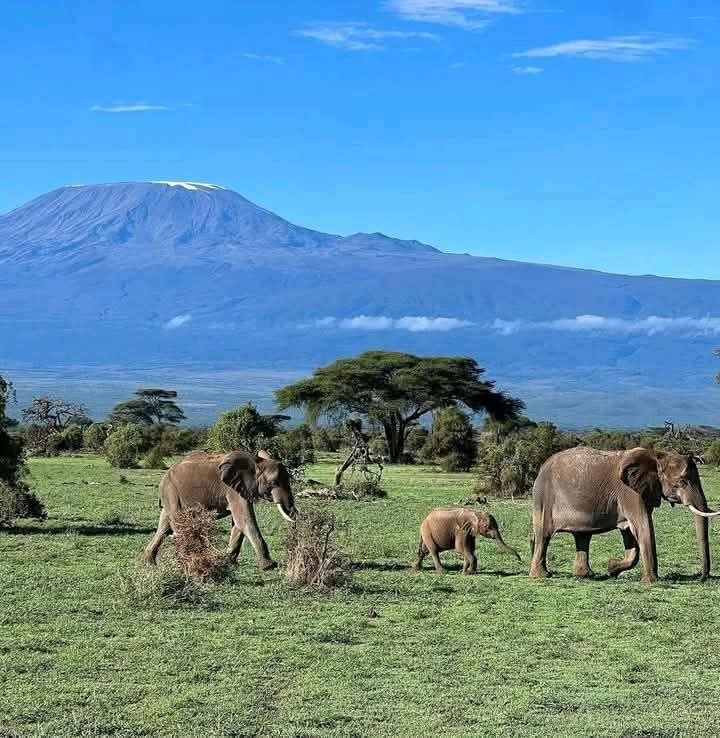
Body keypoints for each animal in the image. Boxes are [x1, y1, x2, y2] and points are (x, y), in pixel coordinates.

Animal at [143, 449, 298, 570]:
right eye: (274, 482)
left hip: (170, 494)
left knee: (164, 526)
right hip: (171, 491)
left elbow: (238, 524)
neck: (256, 462)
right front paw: (270, 566)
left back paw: (149, 563)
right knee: (176, 522)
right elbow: (245, 520)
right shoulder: (232, 490)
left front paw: (230, 563)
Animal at [529, 446, 719, 583]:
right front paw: (651, 582)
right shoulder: (630, 493)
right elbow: (643, 527)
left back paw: (586, 575)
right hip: (544, 498)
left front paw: (611, 568)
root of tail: (541, 467)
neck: (657, 455)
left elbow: (630, 534)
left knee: (582, 536)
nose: (701, 577)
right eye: (682, 482)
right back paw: (542, 576)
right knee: (544, 535)